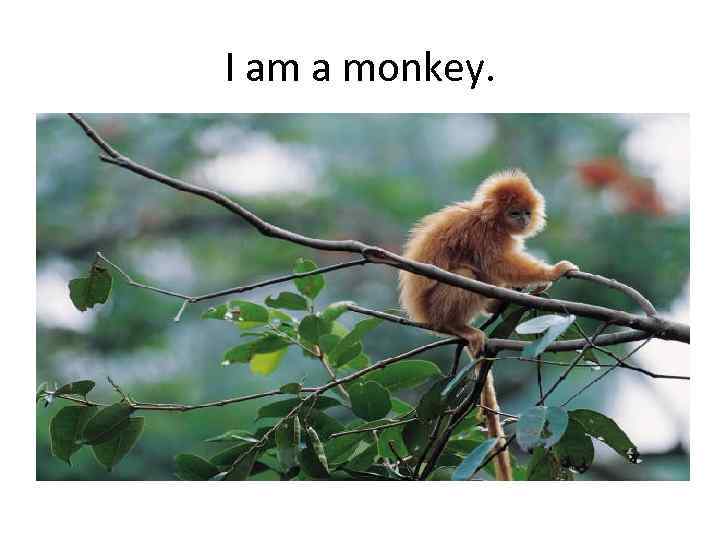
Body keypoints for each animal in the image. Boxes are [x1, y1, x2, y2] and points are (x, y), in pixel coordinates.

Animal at [398, 169, 578, 481]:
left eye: (526, 212)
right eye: (514, 212)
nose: (524, 220)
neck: (490, 219)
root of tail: (425, 317)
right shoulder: (484, 234)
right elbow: (499, 262)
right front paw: (553, 272)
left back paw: (498, 303)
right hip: (438, 305)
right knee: (466, 272)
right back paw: (459, 326)